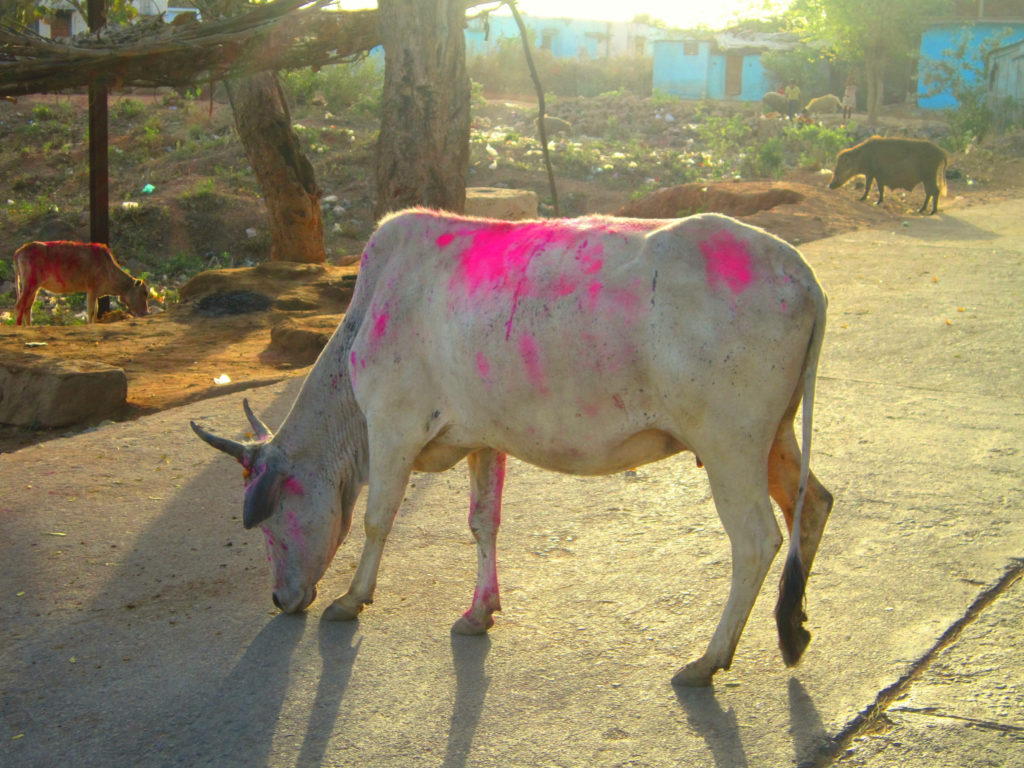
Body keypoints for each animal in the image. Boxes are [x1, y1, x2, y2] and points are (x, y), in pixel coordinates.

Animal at [12, 240, 149, 325]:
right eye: (144, 293)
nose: (146, 313)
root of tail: (19, 251)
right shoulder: (92, 290)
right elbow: (91, 312)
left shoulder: (95, 293)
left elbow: (95, 311)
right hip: (30, 284)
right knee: (19, 306)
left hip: (34, 287)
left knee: (27, 308)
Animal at [192, 208, 831, 684]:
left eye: (271, 519)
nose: (281, 599)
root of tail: (801, 272)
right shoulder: (483, 439)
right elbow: (483, 523)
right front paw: (479, 611)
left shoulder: (393, 427)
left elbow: (377, 520)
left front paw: (351, 599)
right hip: (774, 438)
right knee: (814, 503)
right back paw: (795, 629)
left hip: (730, 446)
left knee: (756, 541)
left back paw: (709, 660)